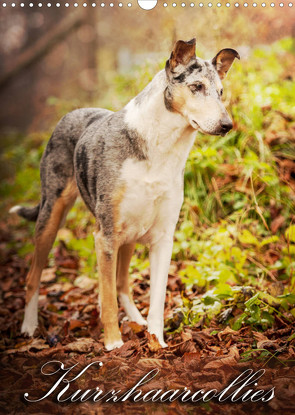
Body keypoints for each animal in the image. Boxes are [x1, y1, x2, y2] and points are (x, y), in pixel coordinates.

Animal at [9, 38, 240, 352]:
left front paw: (157, 341)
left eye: (221, 91)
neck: (159, 148)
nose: (227, 125)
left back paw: (137, 321)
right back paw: (29, 326)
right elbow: (106, 297)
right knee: (34, 277)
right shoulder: (104, 235)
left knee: (121, 283)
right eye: (196, 87)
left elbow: (156, 298)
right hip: (51, 216)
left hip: (128, 234)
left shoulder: (163, 239)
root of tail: (73, 112)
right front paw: (113, 343)